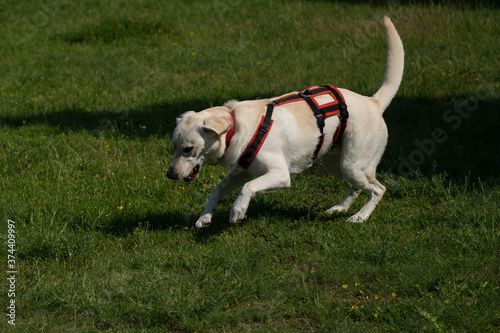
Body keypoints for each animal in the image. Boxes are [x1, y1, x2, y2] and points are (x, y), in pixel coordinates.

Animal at [167, 16, 402, 228]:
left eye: (188, 149)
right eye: (174, 147)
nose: (169, 175)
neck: (237, 127)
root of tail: (373, 101)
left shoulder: (279, 174)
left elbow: (247, 188)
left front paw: (237, 212)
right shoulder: (241, 172)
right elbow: (217, 190)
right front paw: (205, 217)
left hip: (352, 164)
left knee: (378, 190)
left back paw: (360, 217)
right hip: (336, 164)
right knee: (357, 188)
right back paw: (339, 208)